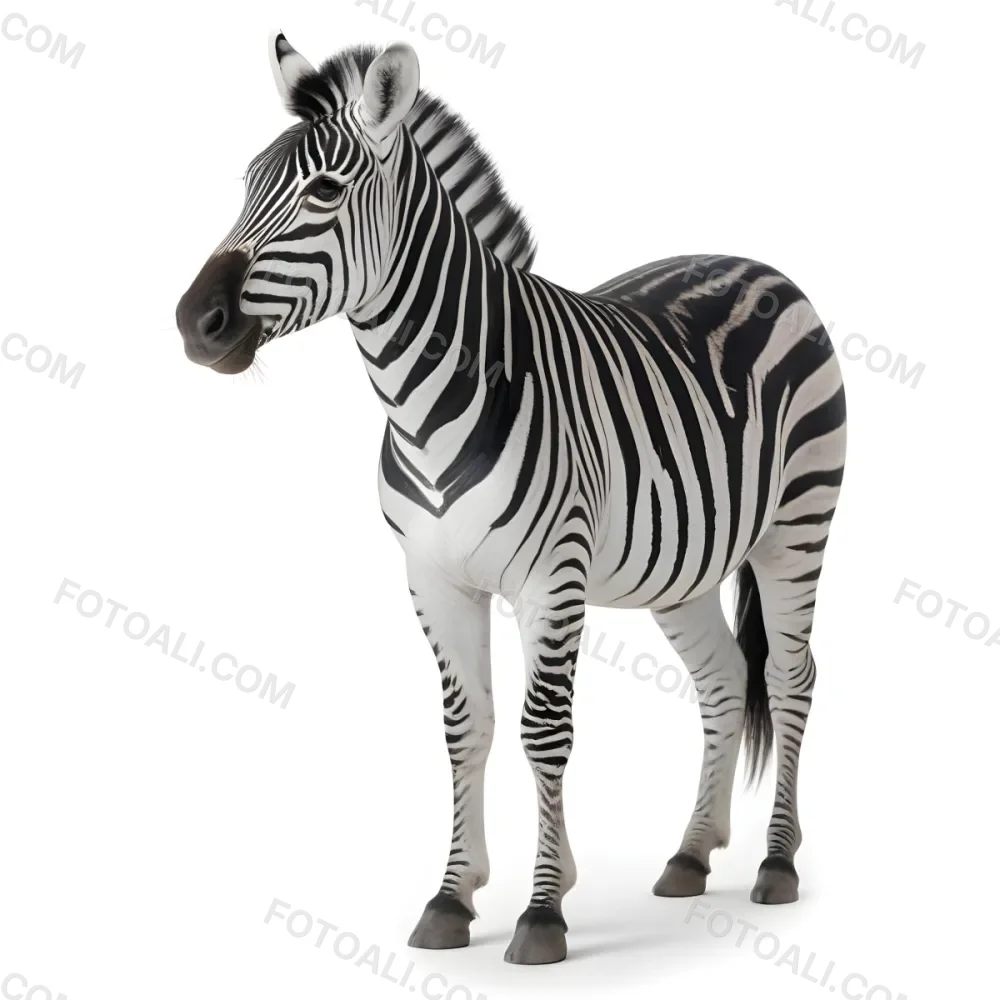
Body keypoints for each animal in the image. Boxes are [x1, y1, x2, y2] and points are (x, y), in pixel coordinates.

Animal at [175, 36, 847, 965]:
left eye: (325, 192)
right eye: (246, 187)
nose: (192, 322)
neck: (425, 403)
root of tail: (762, 265)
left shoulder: (550, 579)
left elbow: (543, 731)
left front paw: (542, 911)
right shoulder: (432, 579)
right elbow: (468, 728)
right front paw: (454, 898)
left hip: (797, 526)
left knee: (787, 676)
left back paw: (777, 863)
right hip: (682, 565)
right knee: (722, 677)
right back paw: (689, 854)